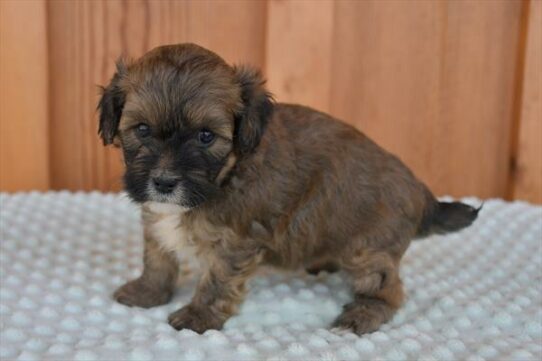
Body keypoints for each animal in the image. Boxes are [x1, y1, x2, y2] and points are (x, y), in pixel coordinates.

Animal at [99, 43, 480, 334]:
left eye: (205, 136)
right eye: (142, 129)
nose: (164, 182)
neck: (227, 173)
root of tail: (421, 190)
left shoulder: (235, 241)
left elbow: (217, 280)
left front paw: (198, 316)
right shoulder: (156, 218)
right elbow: (158, 259)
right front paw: (148, 293)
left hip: (368, 250)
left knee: (390, 290)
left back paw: (361, 315)